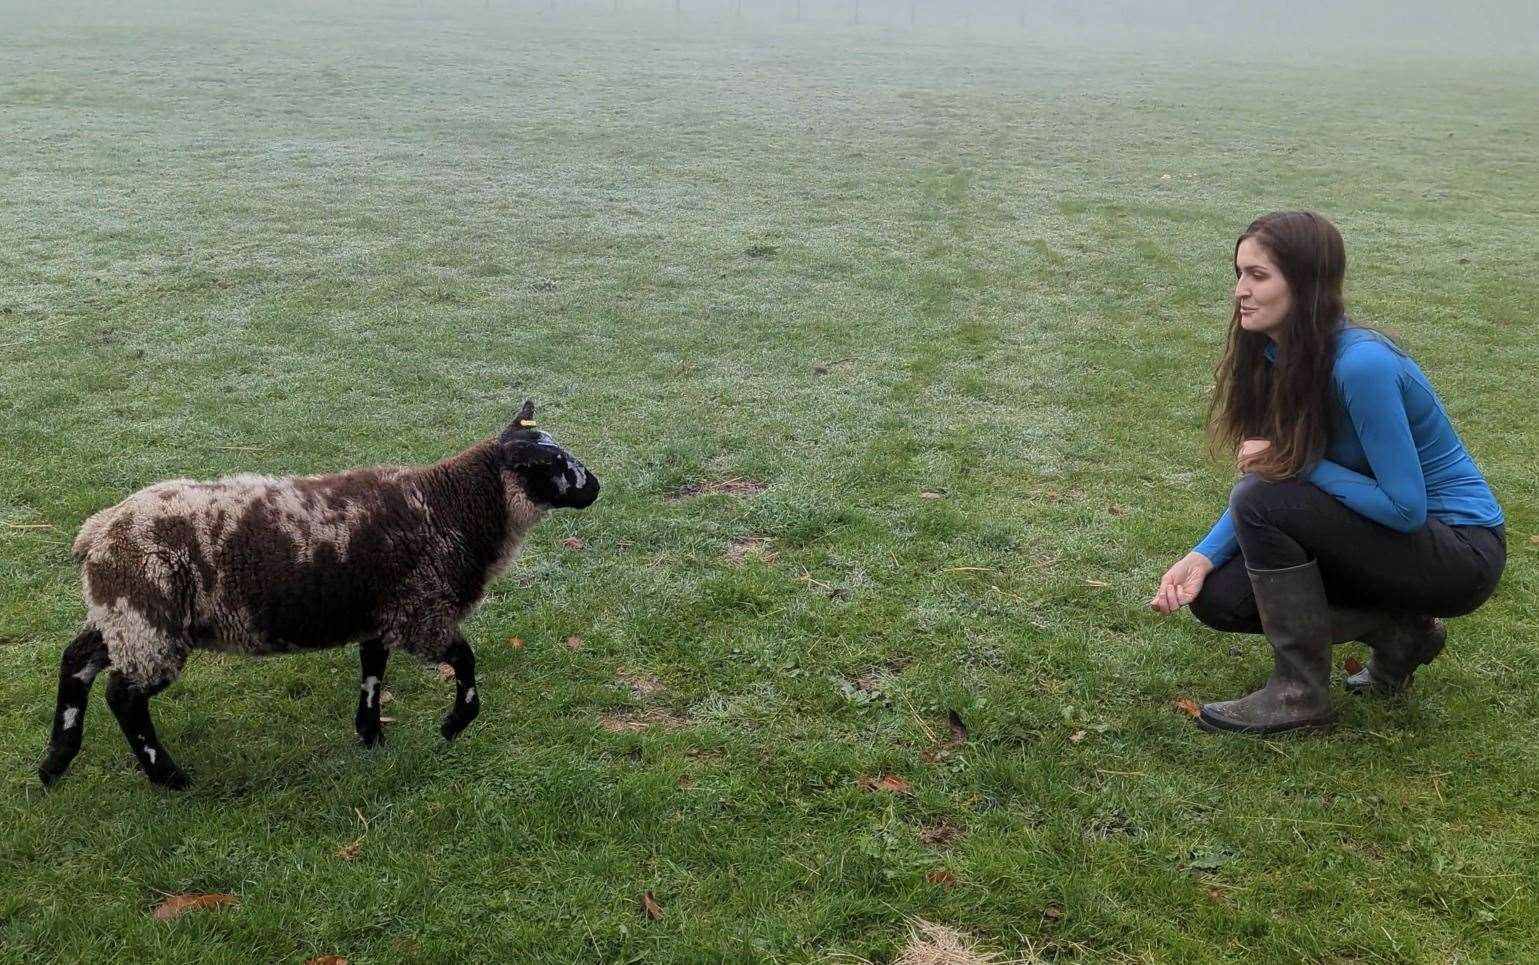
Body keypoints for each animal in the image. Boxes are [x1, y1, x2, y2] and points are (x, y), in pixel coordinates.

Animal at [39, 403, 597, 788]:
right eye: (552, 462)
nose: (594, 486)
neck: (455, 507)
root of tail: (97, 533)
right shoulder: (422, 612)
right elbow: (465, 662)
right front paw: (454, 724)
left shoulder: (383, 612)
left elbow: (372, 672)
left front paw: (371, 736)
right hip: (148, 618)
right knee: (123, 696)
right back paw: (168, 777)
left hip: (121, 613)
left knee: (76, 662)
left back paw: (55, 760)